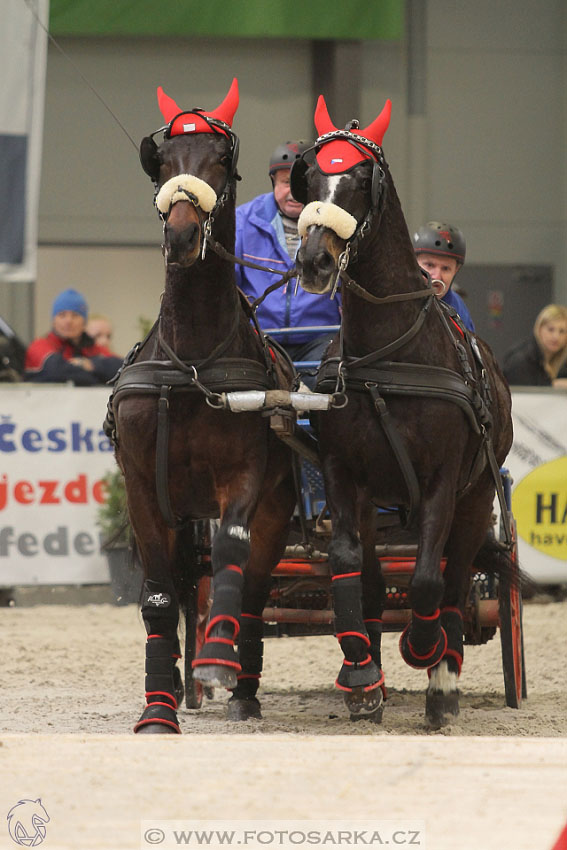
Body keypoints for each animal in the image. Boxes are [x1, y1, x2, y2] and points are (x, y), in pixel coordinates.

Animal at [107, 79, 296, 728]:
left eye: (220, 160)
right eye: (163, 162)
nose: (184, 236)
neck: (190, 363)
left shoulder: (244, 478)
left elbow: (232, 551)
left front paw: (216, 663)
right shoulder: (145, 487)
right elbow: (160, 596)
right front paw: (158, 708)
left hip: (278, 511)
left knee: (255, 592)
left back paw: (242, 687)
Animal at [292, 97, 516, 724]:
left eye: (360, 179)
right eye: (309, 177)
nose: (315, 259)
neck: (390, 355)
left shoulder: (442, 480)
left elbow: (424, 582)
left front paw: (424, 651)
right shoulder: (346, 475)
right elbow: (348, 564)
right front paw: (361, 673)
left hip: (476, 498)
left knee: (455, 577)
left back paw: (444, 677)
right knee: (374, 577)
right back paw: (369, 671)